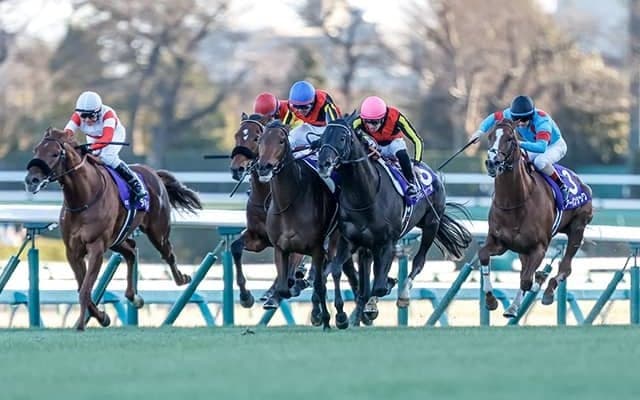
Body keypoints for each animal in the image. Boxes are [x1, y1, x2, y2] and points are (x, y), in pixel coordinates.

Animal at [25, 127, 202, 330]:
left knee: (168, 253)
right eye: (36, 150)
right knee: (131, 251)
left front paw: (82, 324)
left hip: (157, 231)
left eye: (54, 153)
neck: (83, 198)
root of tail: (154, 173)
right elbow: (82, 287)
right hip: (117, 238)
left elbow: (85, 289)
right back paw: (134, 297)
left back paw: (182, 279)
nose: (31, 179)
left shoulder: (96, 247)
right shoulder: (73, 250)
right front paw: (102, 317)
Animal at [256, 120, 357, 329]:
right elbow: (285, 287)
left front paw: (327, 318)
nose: (264, 167)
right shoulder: (281, 248)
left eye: (281, 141)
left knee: (333, 271)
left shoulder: (317, 248)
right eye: (260, 140)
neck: (289, 203)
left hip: (335, 238)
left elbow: (319, 283)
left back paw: (340, 315)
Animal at [318, 113, 473, 322]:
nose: (323, 164)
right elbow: (336, 270)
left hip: (431, 224)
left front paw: (378, 297)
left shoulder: (387, 243)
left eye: (342, 138)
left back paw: (404, 293)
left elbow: (380, 286)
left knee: (418, 262)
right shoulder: (350, 240)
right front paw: (341, 315)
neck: (365, 195)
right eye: (323, 137)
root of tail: (432, 173)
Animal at [479, 119, 594, 317]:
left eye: (510, 139)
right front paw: (491, 300)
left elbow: (526, 280)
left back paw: (547, 291)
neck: (514, 202)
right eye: (490, 136)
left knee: (565, 267)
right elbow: (483, 255)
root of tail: (582, 183)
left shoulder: (539, 248)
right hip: (522, 250)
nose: (492, 162)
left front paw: (516, 304)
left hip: (578, 228)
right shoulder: (499, 242)